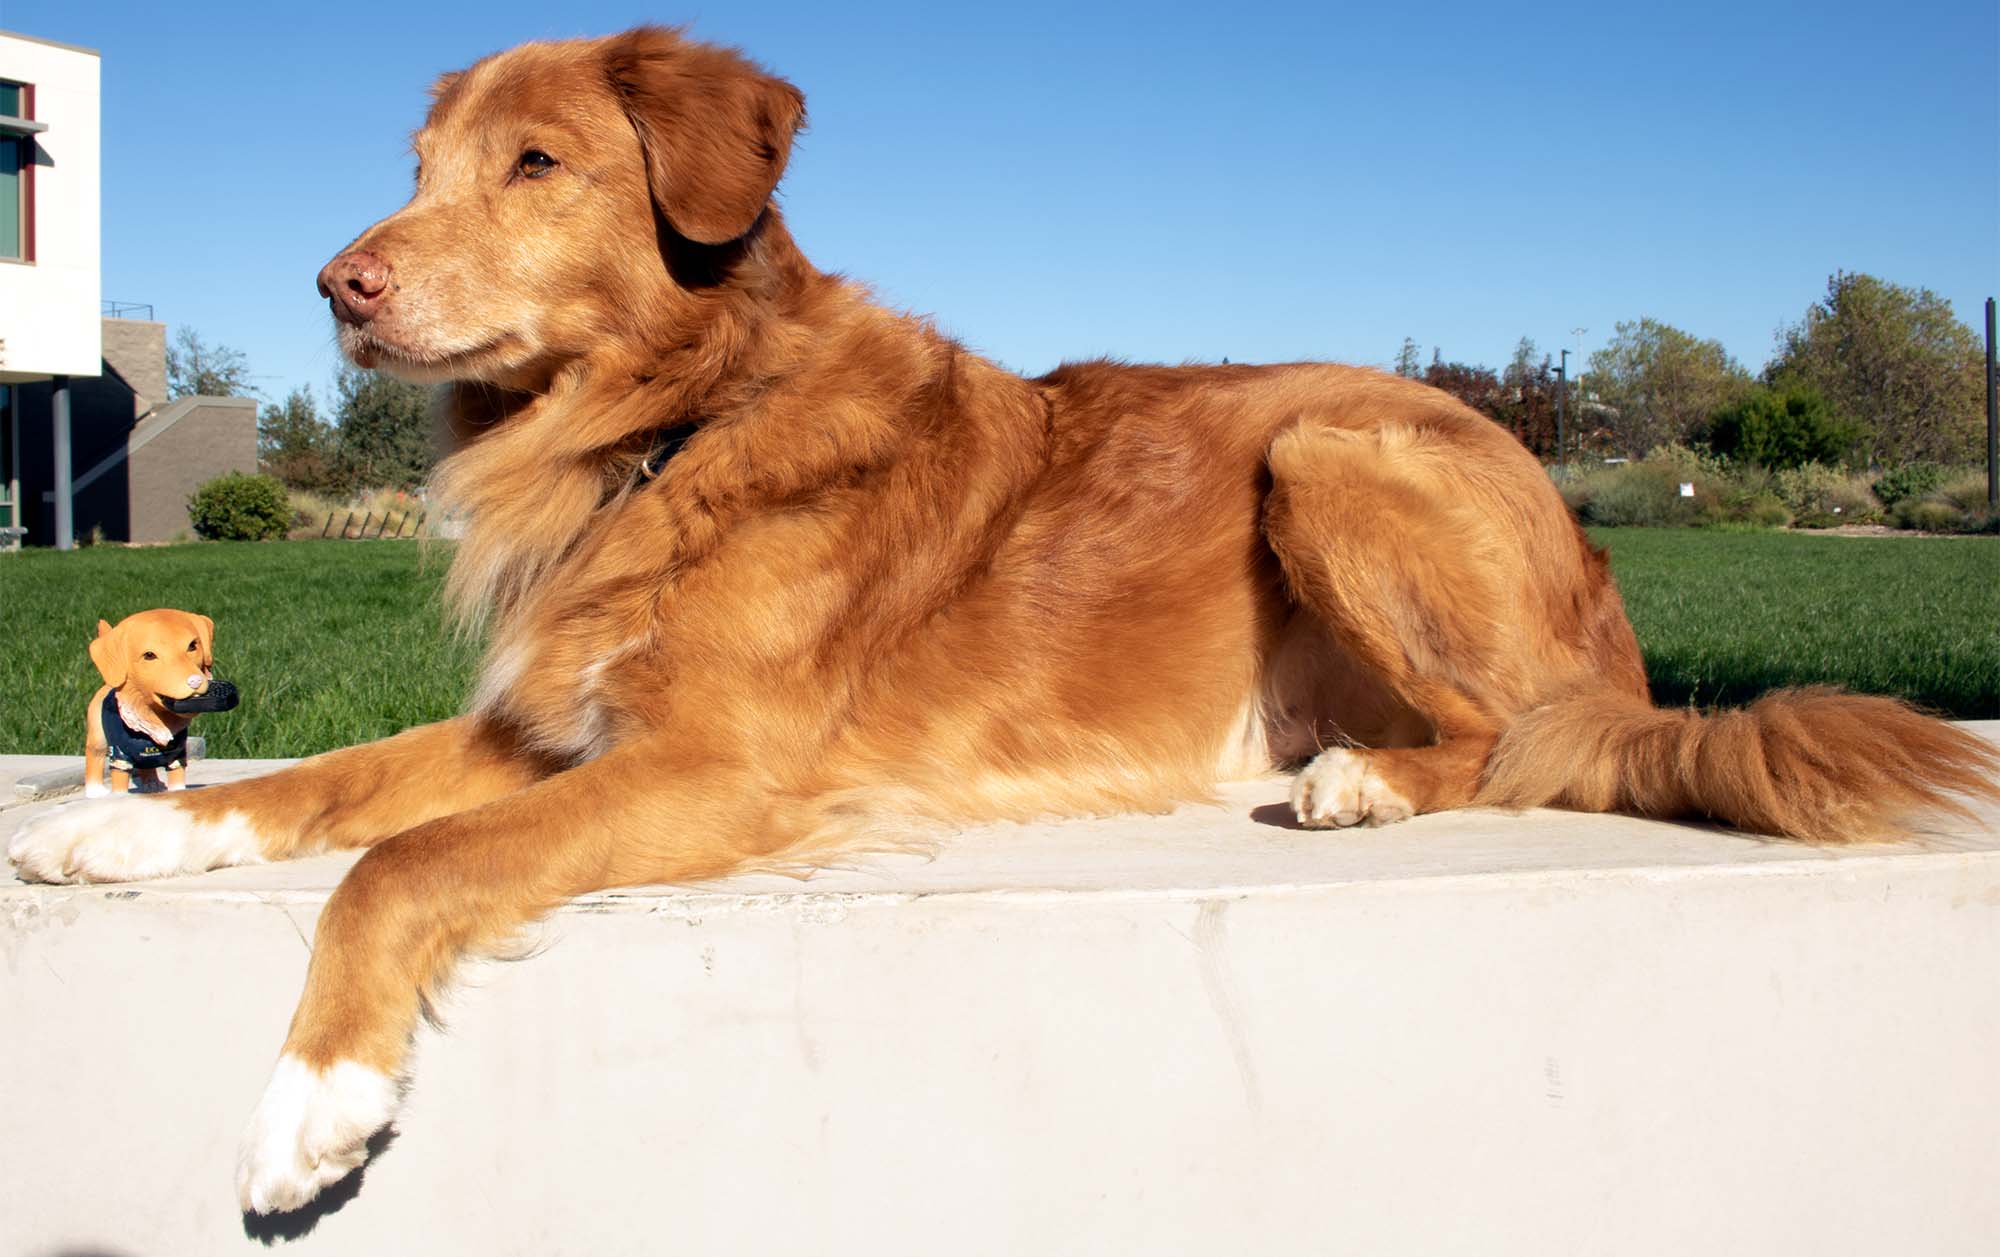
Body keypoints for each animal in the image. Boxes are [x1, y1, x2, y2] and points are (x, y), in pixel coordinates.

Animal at [7, 22, 1992, 1216]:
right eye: (424, 165)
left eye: (539, 166)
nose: (335, 286)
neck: (666, 436)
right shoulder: (541, 723)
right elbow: (330, 786)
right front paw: (129, 835)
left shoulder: (713, 768)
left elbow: (398, 864)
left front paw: (310, 1099)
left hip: (1338, 447)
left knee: (1540, 738)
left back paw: (1364, 781)